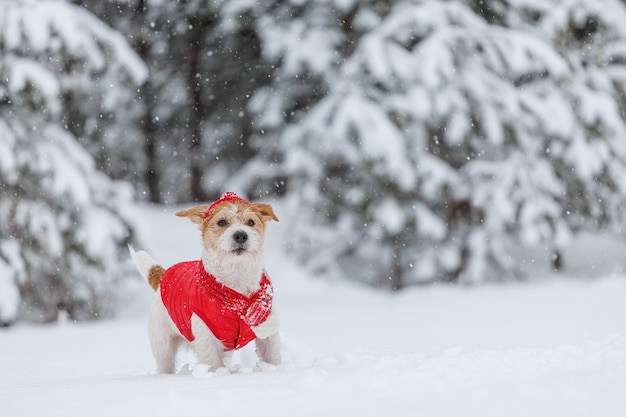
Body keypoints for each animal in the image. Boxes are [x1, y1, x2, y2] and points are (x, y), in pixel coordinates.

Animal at [129, 190, 280, 372]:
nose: (240, 235)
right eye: (222, 222)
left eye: (251, 222)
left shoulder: (268, 332)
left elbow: (272, 356)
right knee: (165, 364)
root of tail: (163, 276)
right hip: (163, 344)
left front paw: (275, 370)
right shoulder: (207, 338)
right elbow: (213, 364)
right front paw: (218, 374)